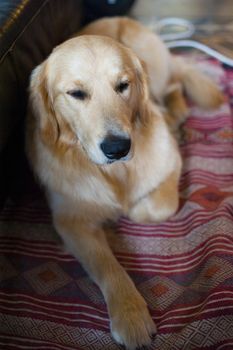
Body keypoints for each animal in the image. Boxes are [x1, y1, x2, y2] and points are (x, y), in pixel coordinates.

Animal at [26, 17, 224, 350]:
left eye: (123, 86)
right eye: (76, 93)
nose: (117, 148)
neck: (116, 173)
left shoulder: (171, 159)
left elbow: (160, 206)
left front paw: (131, 210)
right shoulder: (71, 220)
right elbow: (107, 266)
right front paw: (130, 315)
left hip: (158, 72)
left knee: (174, 84)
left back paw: (175, 115)